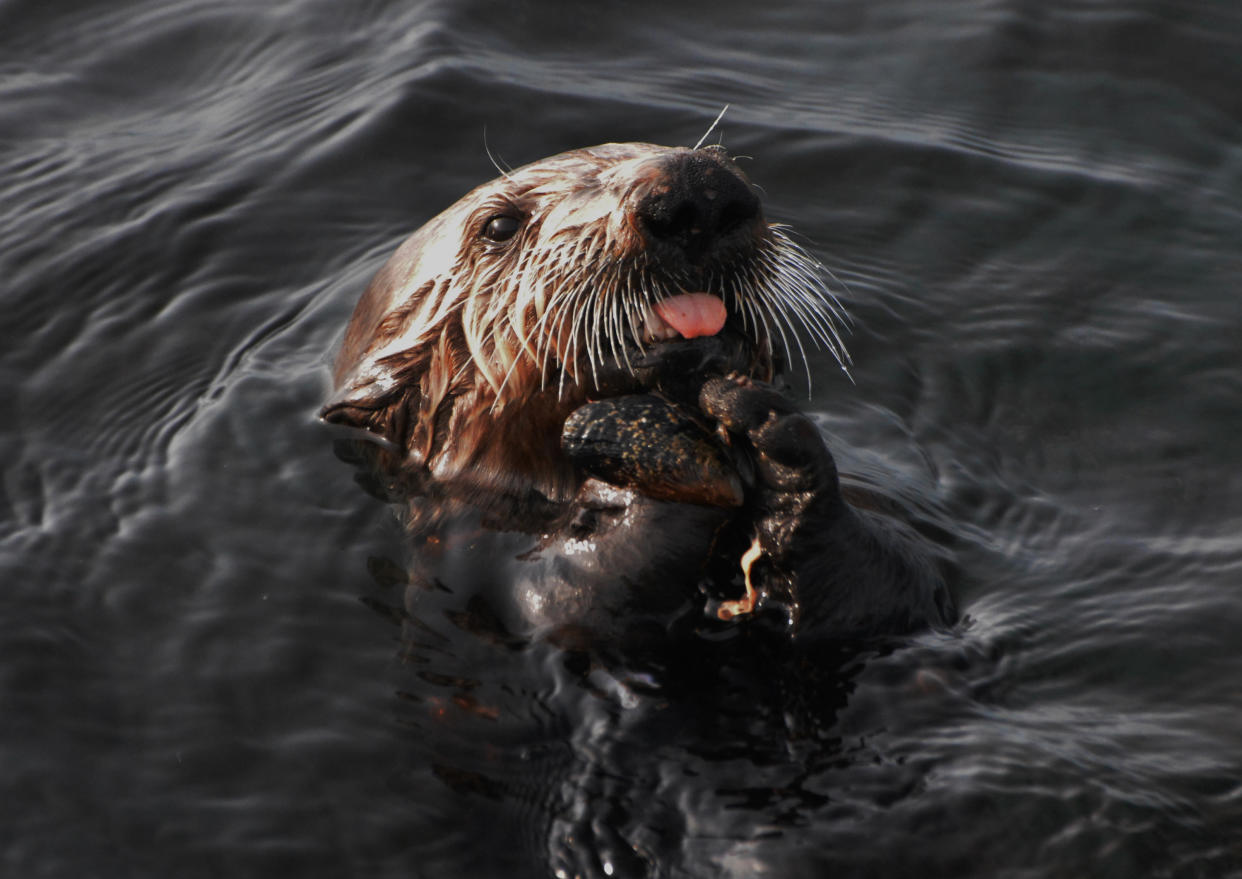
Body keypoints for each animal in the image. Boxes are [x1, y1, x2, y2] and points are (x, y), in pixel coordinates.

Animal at [320, 139, 948, 645]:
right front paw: (668, 459)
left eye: (721, 157)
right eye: (498, 226)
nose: (696, 191)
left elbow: (904, 584)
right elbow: (570, 604)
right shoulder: (458, 551)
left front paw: (772, 434)